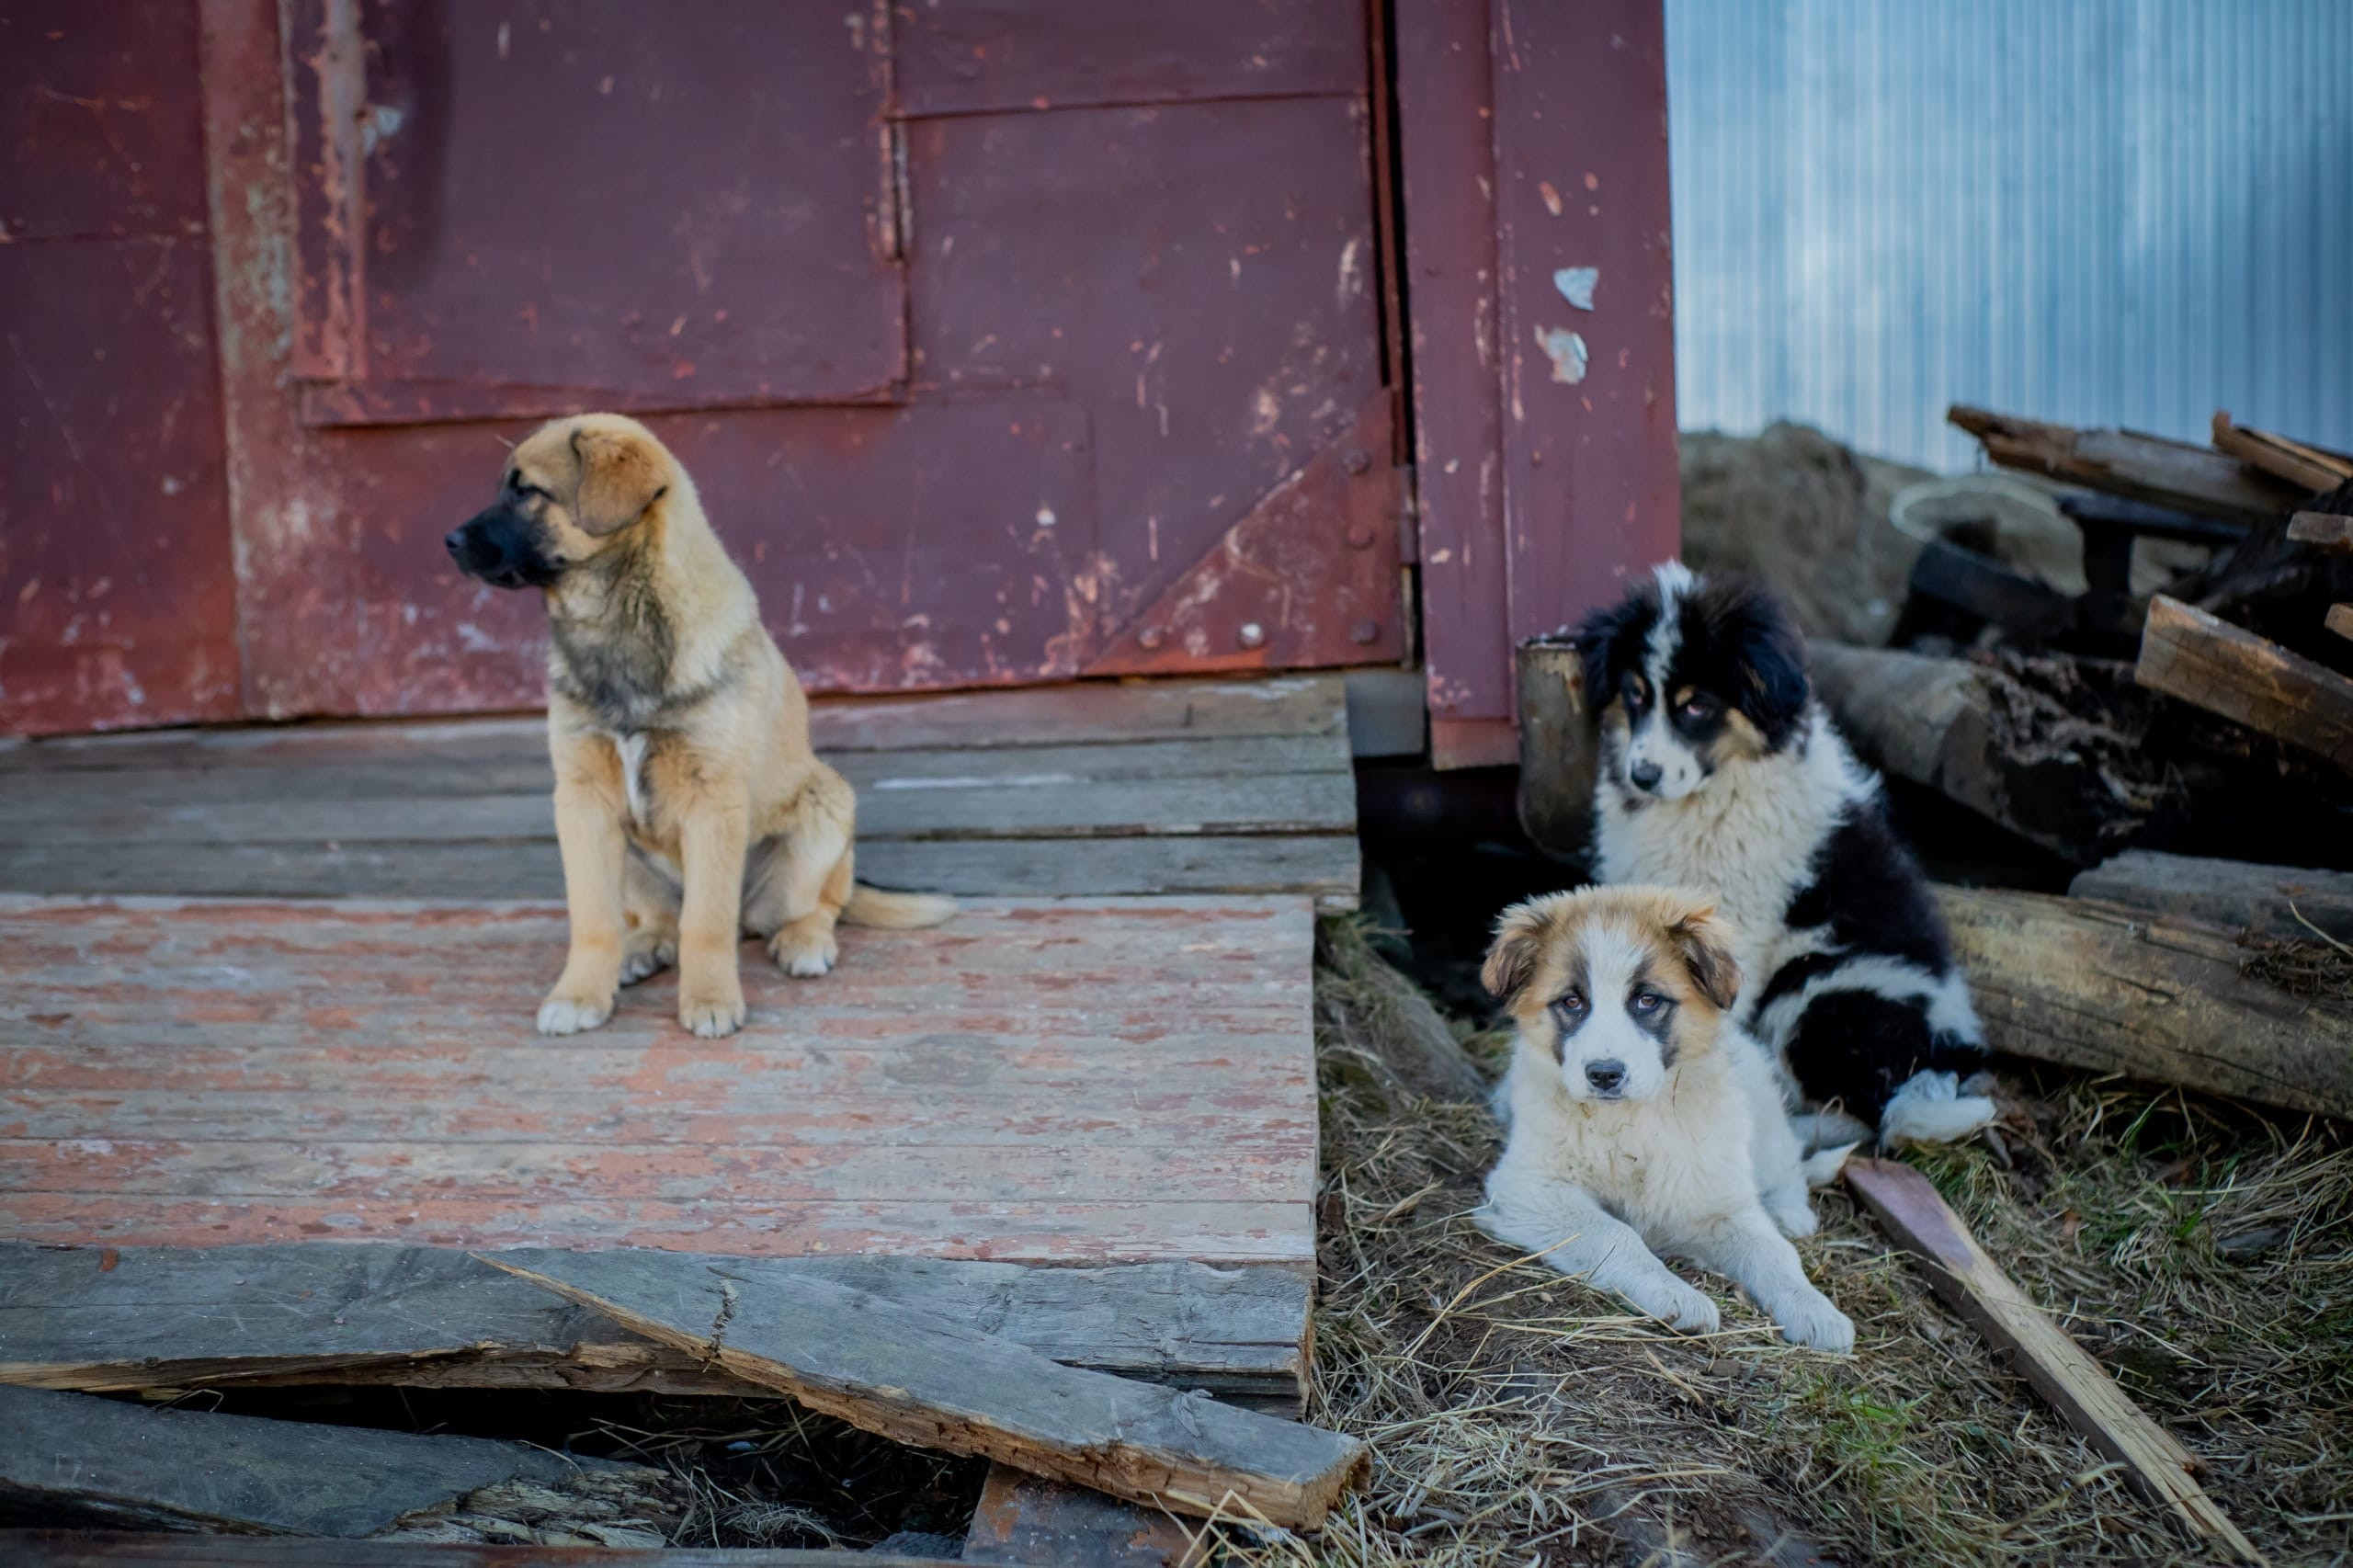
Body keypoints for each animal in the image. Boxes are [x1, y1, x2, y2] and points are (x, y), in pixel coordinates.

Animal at [442, 412, 955, 1036]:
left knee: (818, 904)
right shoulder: (582, 800)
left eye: (526, 491)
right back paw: (643, 947)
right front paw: (581, 993)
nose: (448, 542)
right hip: (633, 857)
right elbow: (593, 918)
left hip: (826, 806)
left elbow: (706, 924)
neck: (619, 627)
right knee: (661, 918)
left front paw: (709, 999)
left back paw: (804, 941)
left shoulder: (712, 800)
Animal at [1468, 885, 1854, 1346]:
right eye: (1572, 1002)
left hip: (1763, 1114)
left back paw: (1790, 1212)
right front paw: (1675, 1294)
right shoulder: (1528, 1186)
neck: (1630, 1122)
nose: (1604, 1074)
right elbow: (1617, 1234)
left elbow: (1775, 1253)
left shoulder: (1718, 1199)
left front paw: (1815, 1309)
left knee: (1788, 1165)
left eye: (1647, 1000)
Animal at [1572, 555, 1995, 1143]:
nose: (1643, 776)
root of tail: (1945, 1052)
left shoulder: (1741, 927)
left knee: (1871, 1114)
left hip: (1825, 991)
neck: (1710, 795)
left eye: (1697, 706)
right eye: (1635, 694)